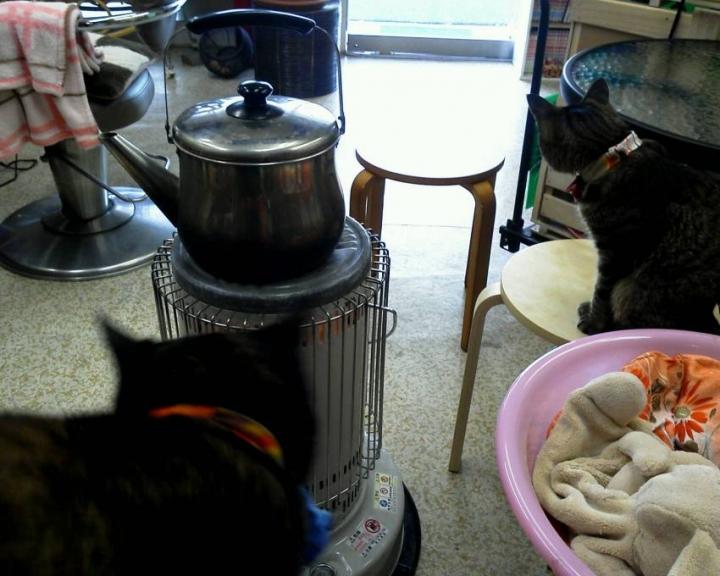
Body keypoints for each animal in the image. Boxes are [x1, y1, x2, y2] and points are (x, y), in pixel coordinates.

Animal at [527, 78, 720, 336]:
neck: (611, 156)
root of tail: (707, 318)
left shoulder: (616, 254)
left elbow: (601, 292)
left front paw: (593, 322)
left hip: (634, 288)